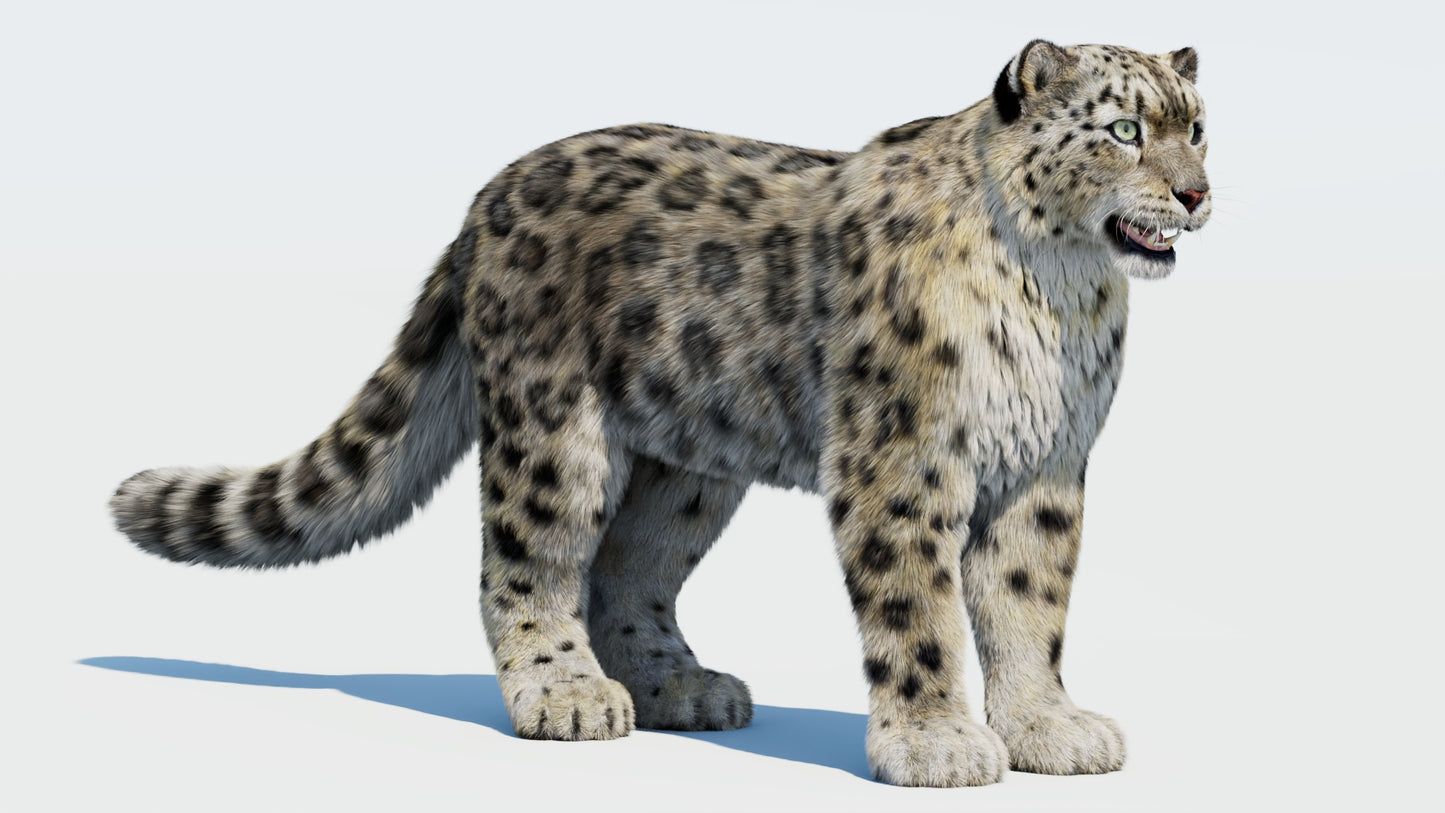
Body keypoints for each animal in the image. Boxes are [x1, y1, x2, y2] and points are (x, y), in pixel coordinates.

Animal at [109, 40, 1211, 787]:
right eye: (1123, 131)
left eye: (1194, 125)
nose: (1197, 193)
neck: (1057, 298)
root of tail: (484, 198)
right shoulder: (902, 460)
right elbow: (919, 607)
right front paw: (936, 743)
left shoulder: (1043, 468)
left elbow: (1028, 603)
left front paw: (1047, 729)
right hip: (555, 433)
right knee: (529, 562)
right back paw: (563, 693)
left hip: (687, 467)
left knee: (627, 570)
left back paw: (680, 685)